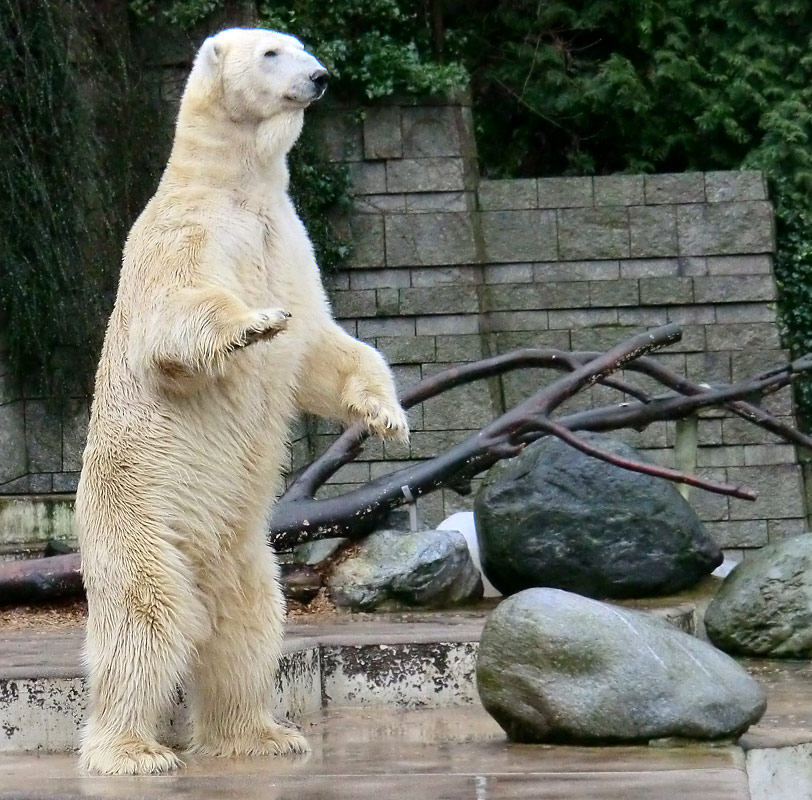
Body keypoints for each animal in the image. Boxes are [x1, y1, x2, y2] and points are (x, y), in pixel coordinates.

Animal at [76, 29, 410, 776]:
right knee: (146, 619)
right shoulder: (185, 231)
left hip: (244, 551)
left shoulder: (287, 239)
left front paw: (387, 417)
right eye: (270, 53)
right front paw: (251, 325)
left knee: (247, 627)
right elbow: (174, 316)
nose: (319, 77)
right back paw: (132, 750)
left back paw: (260, 734)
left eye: (301, 46)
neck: (236, 184)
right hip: (140, 520)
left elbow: (321, 347)